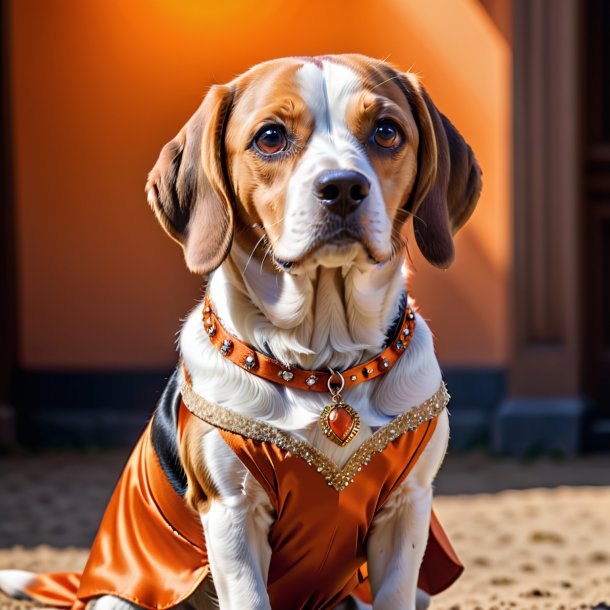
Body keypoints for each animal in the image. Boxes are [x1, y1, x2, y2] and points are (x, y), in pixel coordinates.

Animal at [0, 54, 480, 604]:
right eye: (270, 137)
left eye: (386, 131)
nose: (342, 187)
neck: (326, 366)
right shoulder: (232, 511)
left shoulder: (407, 505)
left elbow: (395, 593)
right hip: (118, 598)